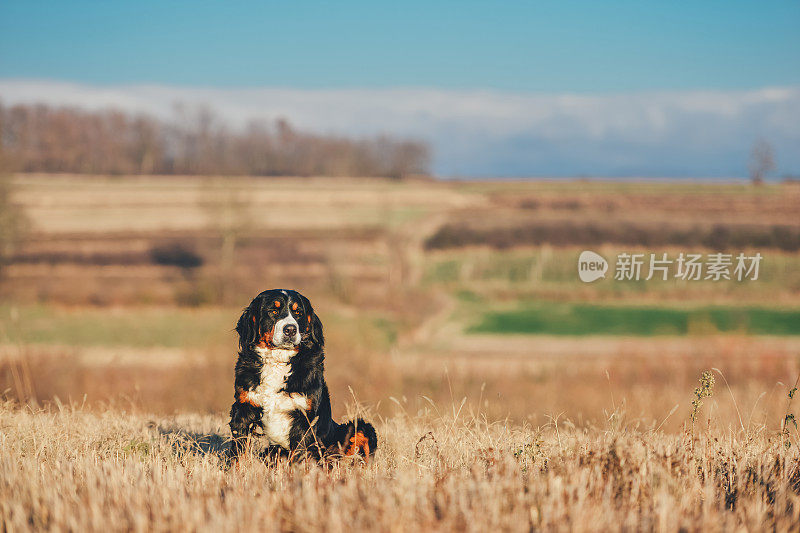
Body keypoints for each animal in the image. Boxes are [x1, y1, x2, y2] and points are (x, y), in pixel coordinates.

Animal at [228, 288, 378, 460]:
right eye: (273, 311)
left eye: (298, 312)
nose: (290, 329)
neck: (278, 362)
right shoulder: (244, 409)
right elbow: (237, 454)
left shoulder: (304, 418)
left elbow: (299, 455)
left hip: (360, 428)